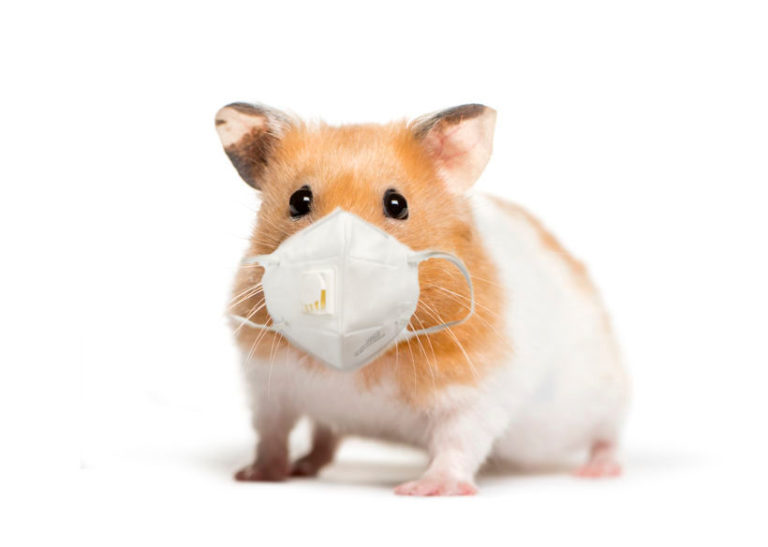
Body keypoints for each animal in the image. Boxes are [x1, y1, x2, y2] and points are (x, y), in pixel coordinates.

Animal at [215, 102, 629, 495]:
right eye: (298, 201)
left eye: (397, 204)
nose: (335, 267)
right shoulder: (267, 385)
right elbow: (271, 434)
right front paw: (255, 476)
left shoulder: (474, 390)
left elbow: (458, 442)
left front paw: (424, 489)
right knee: (325, 436)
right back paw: (304, 466)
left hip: (602, 394)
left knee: (608, 433)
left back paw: (599, 470)